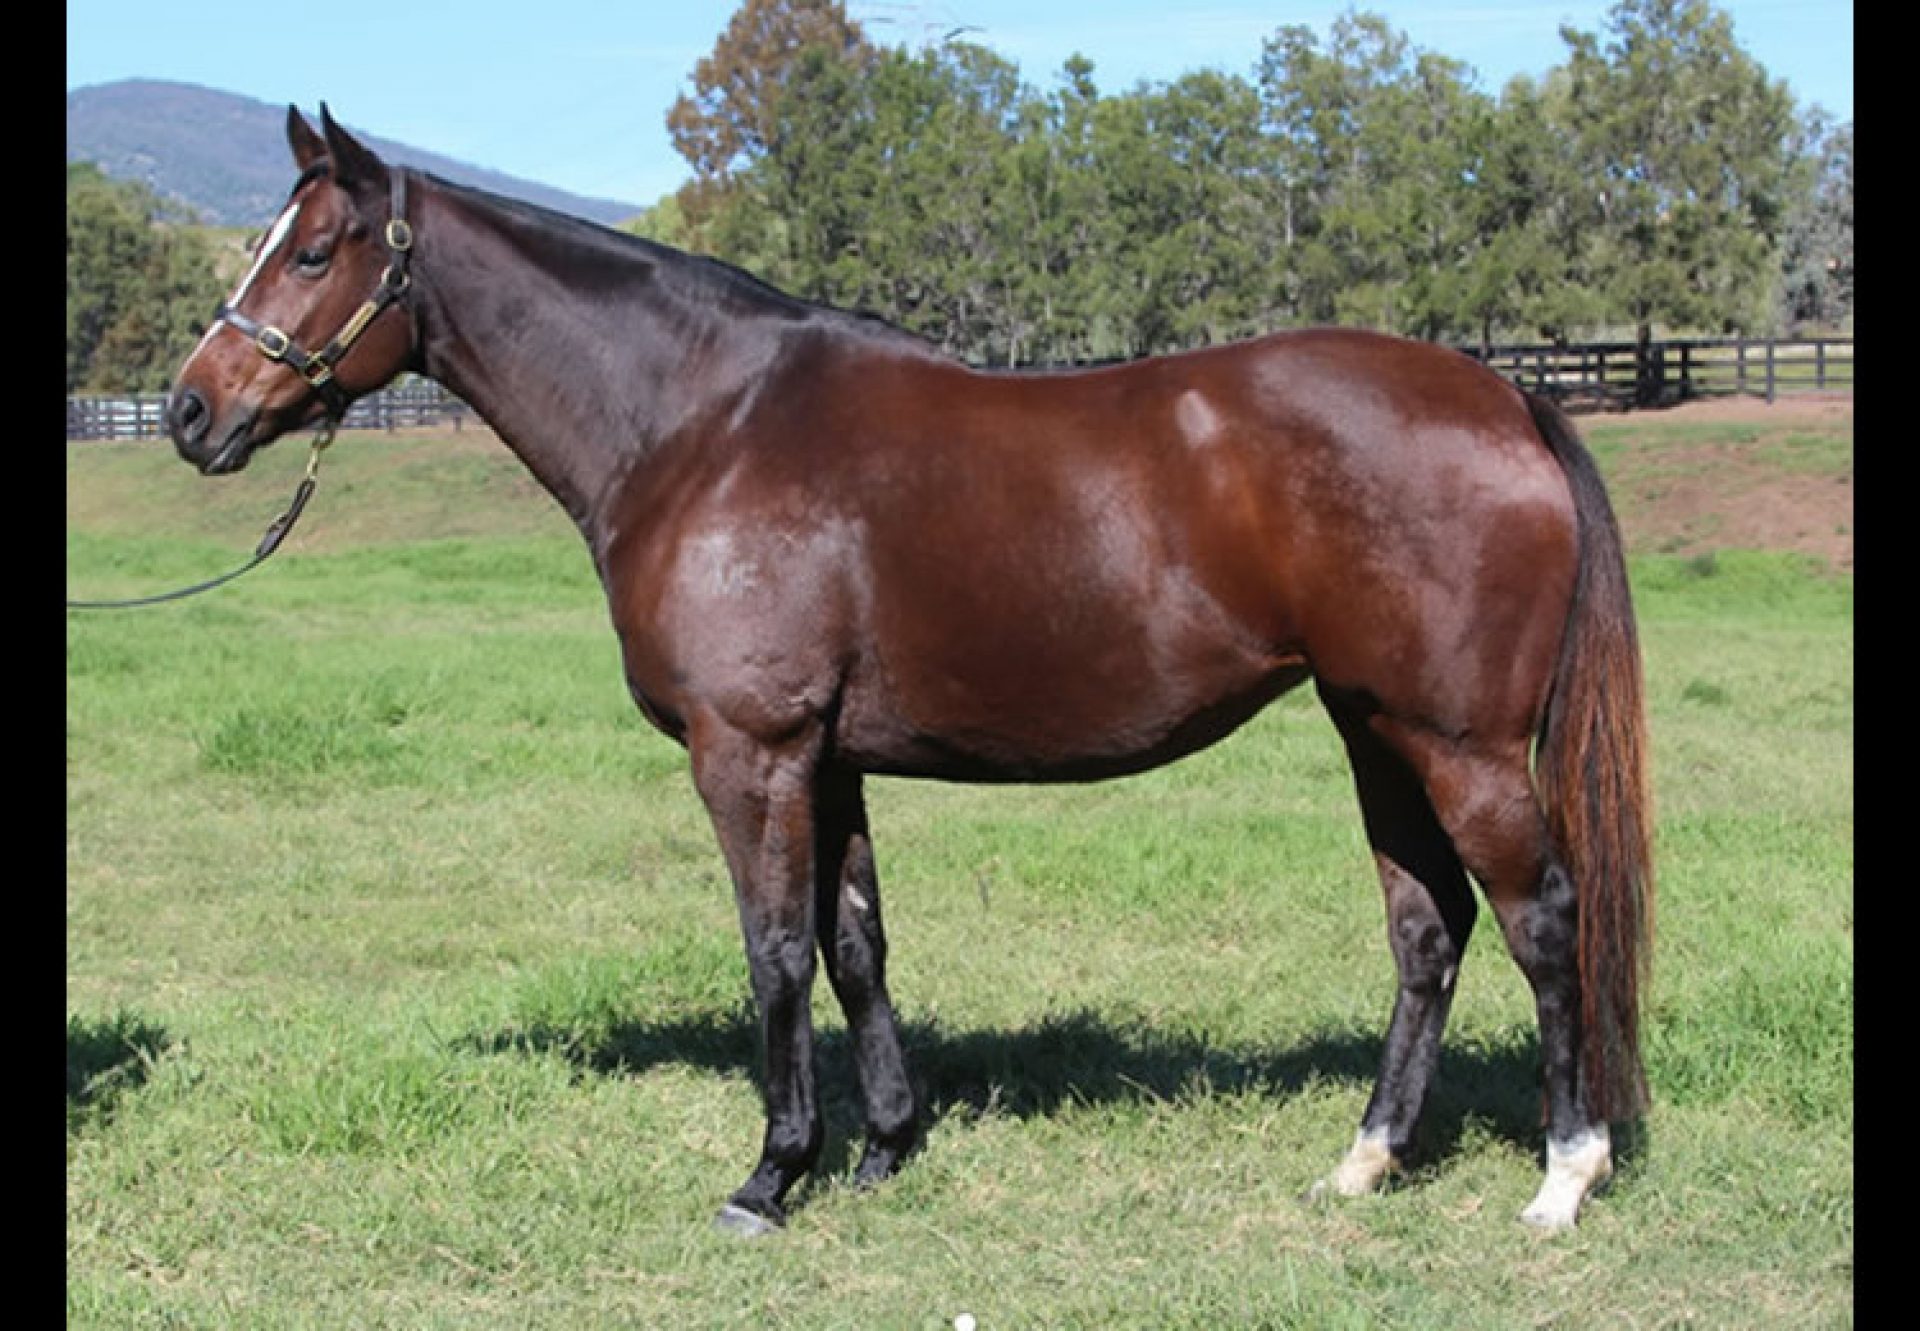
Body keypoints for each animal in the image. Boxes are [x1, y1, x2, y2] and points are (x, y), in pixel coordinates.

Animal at [165, 106, 1653, 1235]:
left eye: (313, 249)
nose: (190, 409)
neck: (705, 424)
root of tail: (1502, 394)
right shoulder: (828, 756)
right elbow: (856, 941)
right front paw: (883, 1144)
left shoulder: (751, 750)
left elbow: (773, 950)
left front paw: (772, 1173)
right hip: (1373, 727)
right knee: (1429, 927)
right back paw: (1367, 1156)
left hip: (1456, 744)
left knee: (1543, 916)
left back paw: (1563, 1175)